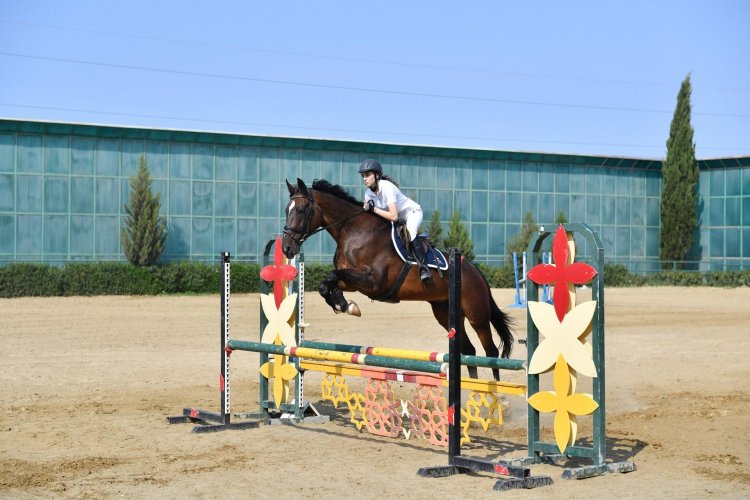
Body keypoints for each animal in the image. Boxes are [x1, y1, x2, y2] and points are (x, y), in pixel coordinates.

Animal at [284, 177, 516, 378]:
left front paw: (347, 306)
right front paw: (345, 305)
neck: (353, 231)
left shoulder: (373, 281)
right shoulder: (353, 282)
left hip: (477, 314)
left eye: (301, 210)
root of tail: (475, 271)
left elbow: (332, 276)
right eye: (287, 210)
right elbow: (326, 283)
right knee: (468, 350)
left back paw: (494, 394)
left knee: (491, 351)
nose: (287, 248)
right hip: (445, 312)